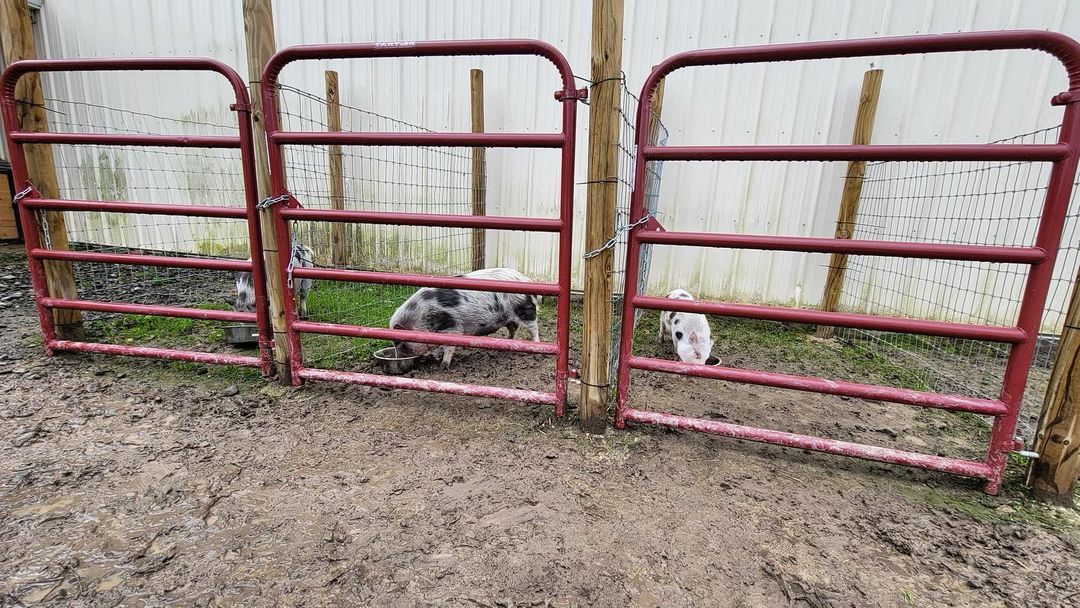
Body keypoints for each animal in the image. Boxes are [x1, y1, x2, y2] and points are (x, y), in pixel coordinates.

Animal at [388, 268, 540, 369]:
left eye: (403, 345)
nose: (399, 366)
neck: (419, 319)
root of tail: (526, 278)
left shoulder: (452, 327)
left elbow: (449, 347)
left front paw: (443, 366)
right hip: (507, 317)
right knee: (513, 328)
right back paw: (506, 343)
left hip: (526, 309)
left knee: (534, 329)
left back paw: (536, 347)